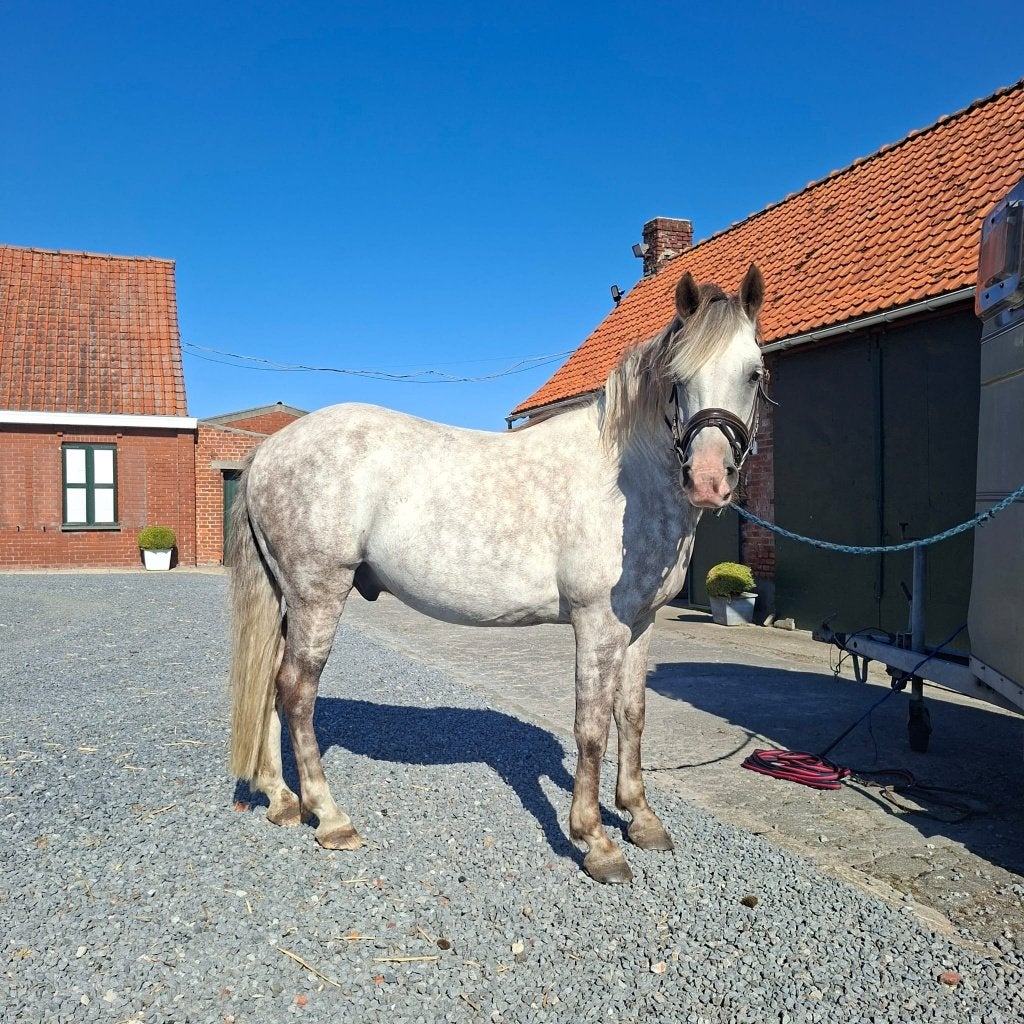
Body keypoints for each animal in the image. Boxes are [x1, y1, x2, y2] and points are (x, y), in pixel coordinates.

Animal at [228, 264, 765, 884]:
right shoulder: (598, 625)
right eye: (678, 379)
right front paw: (597, 842)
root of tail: (269, 450)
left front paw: (642, 818)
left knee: (271, 682)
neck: (624, 479)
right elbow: (591, 727)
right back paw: (330, 816)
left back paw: (282, 800)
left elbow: (631, 715)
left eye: (754, 372)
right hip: (319, 593)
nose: (708, 480)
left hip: (288, 597)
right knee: (296, 689)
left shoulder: (641, 625)